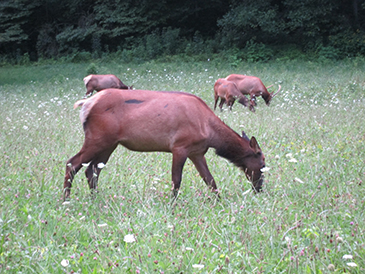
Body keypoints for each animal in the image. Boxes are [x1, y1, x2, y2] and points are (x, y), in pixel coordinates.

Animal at [64, 89, 266, 200]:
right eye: (262, 165)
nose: (259, 189)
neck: (210, 132)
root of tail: (86, 104)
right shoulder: (180, 147)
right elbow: (176, 181)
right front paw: (172, 205)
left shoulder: (197, 152)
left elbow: (210, 180)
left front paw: (220, 201)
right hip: (97, 139)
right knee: (72, 163)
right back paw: (66, 200)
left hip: (109, 144)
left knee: (91, 170)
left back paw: (94, 198)